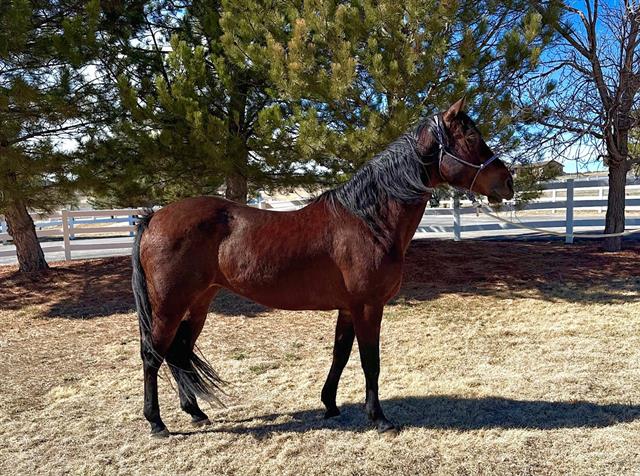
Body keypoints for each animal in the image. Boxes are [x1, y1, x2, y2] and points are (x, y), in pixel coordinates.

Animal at [132, 98, 512, 436]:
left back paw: (195, 411)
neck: (368, 220)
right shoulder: (368, 306)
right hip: (169, 305)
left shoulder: (348, 307)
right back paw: (157, 423)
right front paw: (379, 419)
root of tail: (153, 218)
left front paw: (330, 404)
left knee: (177, 352)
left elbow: (340, 355)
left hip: (199, 302)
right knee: (153, 354)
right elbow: (370, 361)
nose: (507, 181)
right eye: (472, 139)